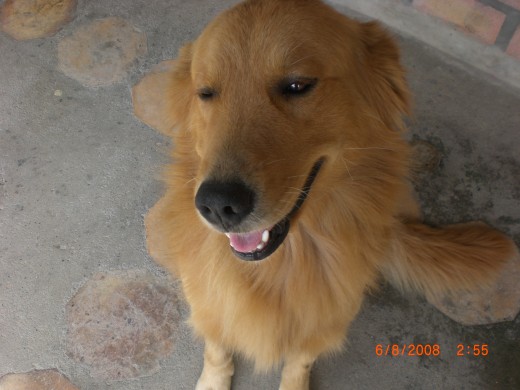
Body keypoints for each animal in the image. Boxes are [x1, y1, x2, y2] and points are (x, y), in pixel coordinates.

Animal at [143, 1, 516, 388]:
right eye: (206, 93)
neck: (281, 264)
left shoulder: (327, 319)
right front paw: (214, 379)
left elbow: (300, 361)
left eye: (297, 85)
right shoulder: (206, 298)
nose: (217, 204)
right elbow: (216, 349)